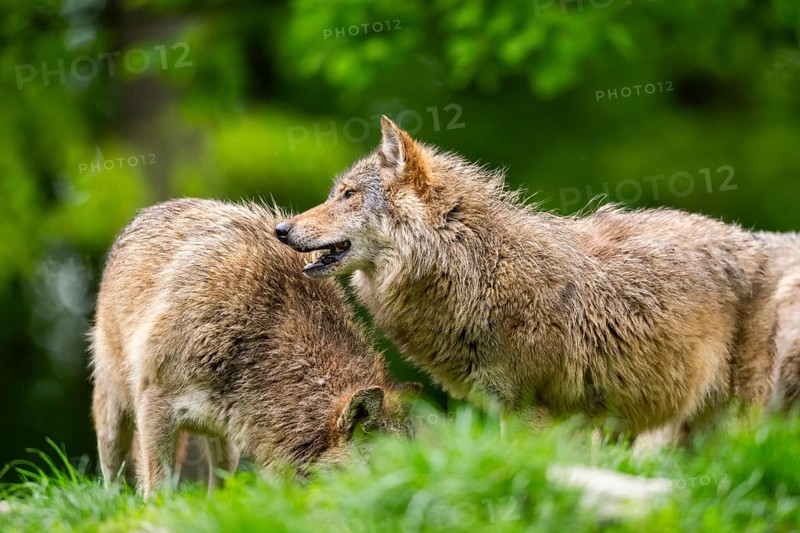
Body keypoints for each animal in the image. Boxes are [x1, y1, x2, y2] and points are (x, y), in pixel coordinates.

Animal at [91, 198, 419, 498]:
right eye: (382, 471)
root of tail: (147, 212)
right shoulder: (155, 404)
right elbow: (158, 492)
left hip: (222, 440)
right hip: (113, 415)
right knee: (112, 479)